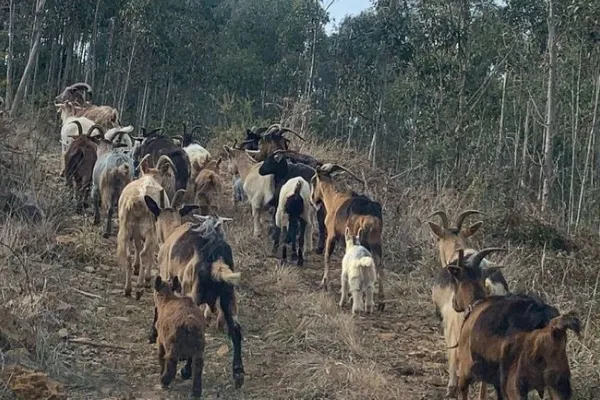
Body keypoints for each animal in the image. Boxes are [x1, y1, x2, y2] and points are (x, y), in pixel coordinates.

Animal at [115, 155, 176, 298]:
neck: (150, 177)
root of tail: (136, 200)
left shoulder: (136, 232)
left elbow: (137, 246)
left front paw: (136, 268)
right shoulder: (155, 232)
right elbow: (150, 252)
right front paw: (147, 278)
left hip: (126, 229)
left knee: (128, 255)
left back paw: (128, 289)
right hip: (149, 230)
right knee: (144, 253)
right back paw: (140, 286)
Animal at [310, 164, 384, 310]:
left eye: (313, 181)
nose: (312, 199)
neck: (333, 200)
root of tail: (370, 214)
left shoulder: (331, 235)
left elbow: (327, 256)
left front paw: (324, 283)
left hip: (363, 241)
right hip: (376, 242)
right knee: (379, 264)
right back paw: (381, 301)